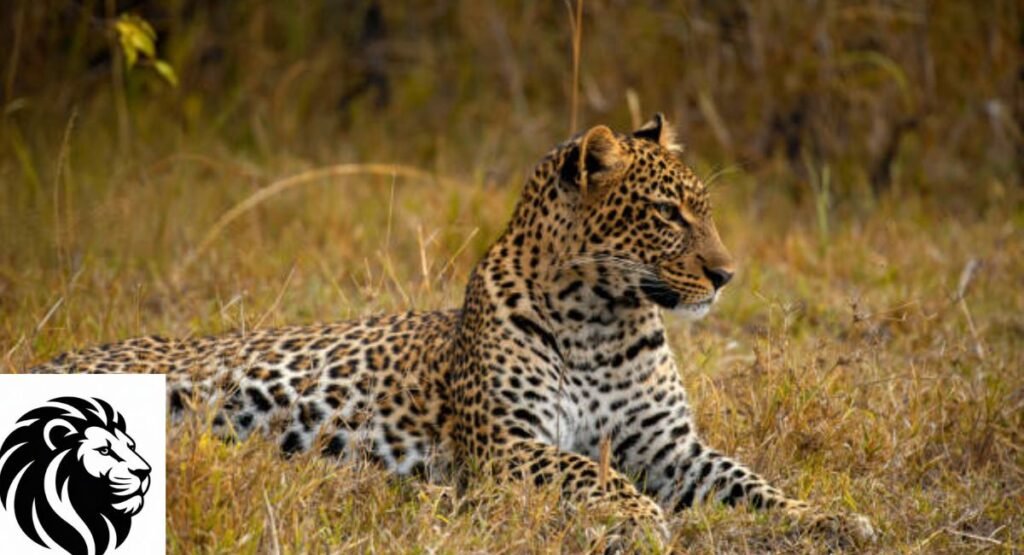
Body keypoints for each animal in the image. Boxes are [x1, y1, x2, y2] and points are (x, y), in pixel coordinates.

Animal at [29, 114, 875, 548]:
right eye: (669, 213)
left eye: (704, 209)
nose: (728, 274)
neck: (603, 316)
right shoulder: (505, 443)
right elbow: (592, 471)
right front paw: (639, 518)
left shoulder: (671, 445)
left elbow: (752, 481)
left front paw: (831, 518)